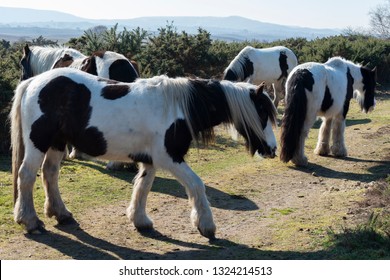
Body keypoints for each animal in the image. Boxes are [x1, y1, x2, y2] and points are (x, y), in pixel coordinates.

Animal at [10, 68, 278, 241]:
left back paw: (61, 213)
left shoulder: (150, 160)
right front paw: (206, 226)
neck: (178, 108)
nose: (273, 149)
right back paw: (29, 221)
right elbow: (196, 185)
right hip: (38, 141)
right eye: (263, 112)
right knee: (27, 176)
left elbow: (143, 187)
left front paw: (140, 221)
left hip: (57, 143)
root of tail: (33, 82)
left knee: (50, 173)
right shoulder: (170, 158)